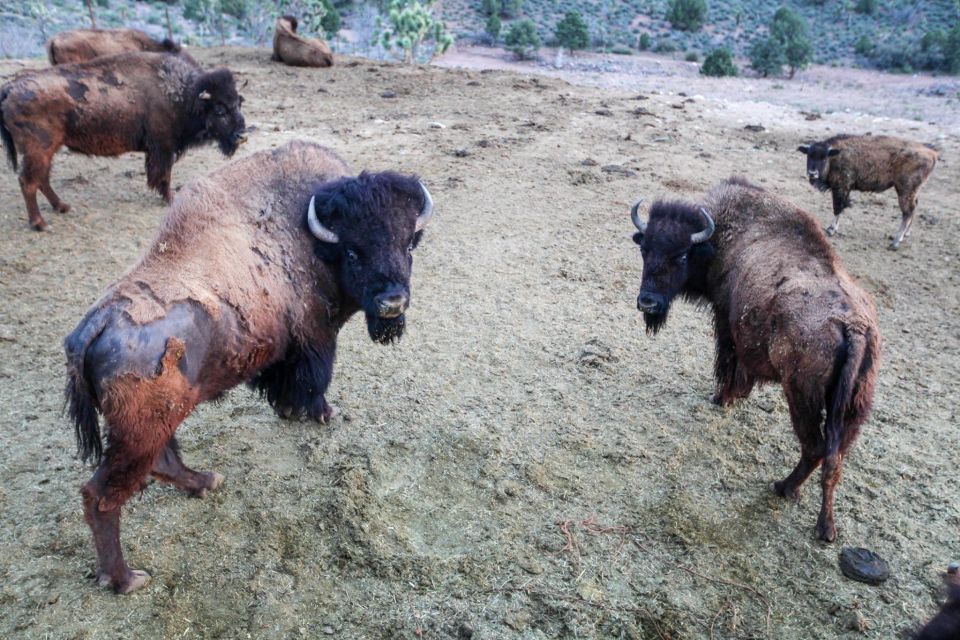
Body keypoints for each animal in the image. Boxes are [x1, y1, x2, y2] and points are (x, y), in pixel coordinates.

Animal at [1, 51, 248, 230]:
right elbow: (164, 176)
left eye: (238, 102)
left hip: (47, 150)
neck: (184, 95)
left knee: (41, 178)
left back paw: (62, 207)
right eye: (219, 109)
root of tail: (10, 88)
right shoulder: (162, 148)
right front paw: (170, 198)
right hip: (38, 149)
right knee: (28, 181)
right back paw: (40, 223)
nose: (242, 136)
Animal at [62, 140, 432, 596]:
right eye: (353, 250)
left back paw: (206, 482)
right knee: (101, 496)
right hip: (139, 432)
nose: (392, 303)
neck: (312, 237)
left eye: (409, 243)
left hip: (155, 423)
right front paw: (322, 414)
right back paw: (127, 579)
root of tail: (93, 326)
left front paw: (289, 410)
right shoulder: (318, 336)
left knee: (161, 463)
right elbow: (315, 380)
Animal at [632, 178, 880, 544]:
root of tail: (854, 327)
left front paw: (722, 398)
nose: (647, 302)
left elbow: (729, 364)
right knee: (834, 460)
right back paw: (825, 526)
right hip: (854, 409)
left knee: (814, 447)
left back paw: (784, 489)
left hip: (803, 398)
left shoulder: (725, 323)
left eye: (682, 255)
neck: (721, 236)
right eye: (645, 249)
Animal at [796, 134, 936, 250]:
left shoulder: (841, 188)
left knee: (908, 212)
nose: (812, 173)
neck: (835, 155)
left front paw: (831, 229)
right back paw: (905, 234)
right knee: (914, 208)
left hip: (904, 190)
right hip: (912, 191)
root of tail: (933, 154)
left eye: (824, 157)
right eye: (809, 155)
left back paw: (895, 242)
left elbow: (838, 208)